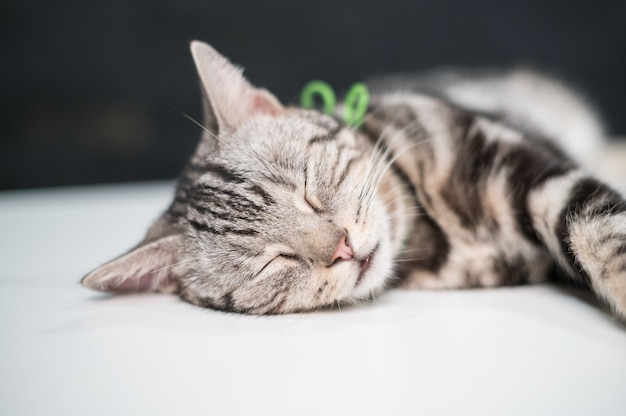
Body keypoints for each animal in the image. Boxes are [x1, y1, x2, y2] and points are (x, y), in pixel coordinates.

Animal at [81, 41, 624, 316]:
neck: (437, 239)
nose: (342, 247)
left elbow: (601, 235)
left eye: (306, 190)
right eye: (273, 262)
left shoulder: (521, 165)